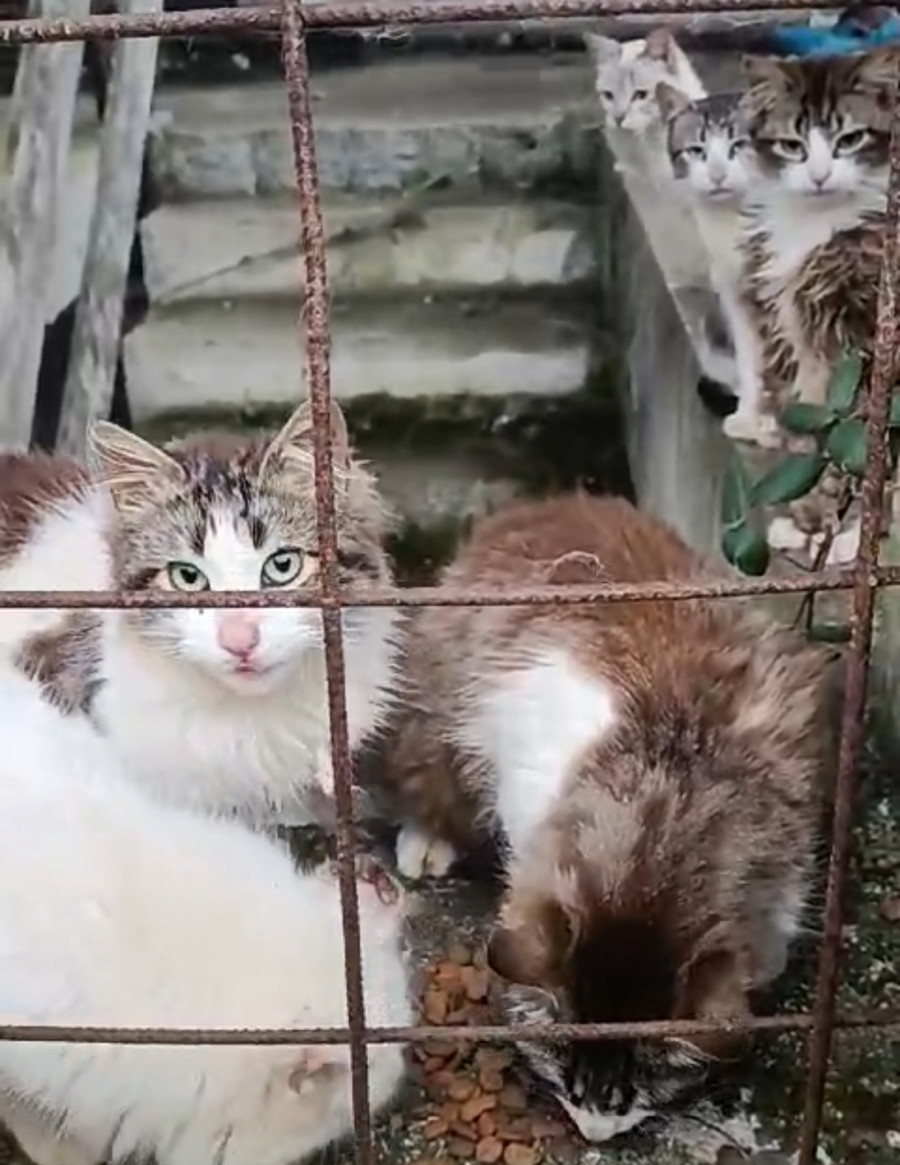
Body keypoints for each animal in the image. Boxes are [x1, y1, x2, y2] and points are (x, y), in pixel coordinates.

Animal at [652, 85, 773, 445]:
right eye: (696, 150)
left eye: (739, 145)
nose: (717, 175)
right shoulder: (736, 294)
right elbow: (750, 359)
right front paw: (750, 417)